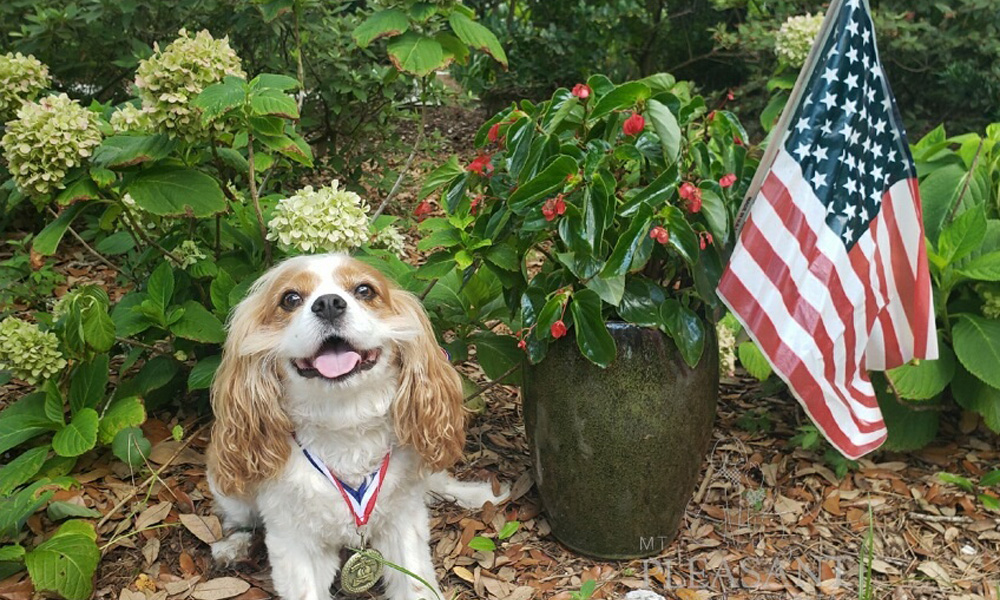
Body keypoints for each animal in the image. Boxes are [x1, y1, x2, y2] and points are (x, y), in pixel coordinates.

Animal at [209, 253, 508, 600]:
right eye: (290, 299)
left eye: (365, 290)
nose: (328, 303)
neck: (344, 419)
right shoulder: (294, 542)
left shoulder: (403, 523)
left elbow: (416, 583)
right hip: (227, 488)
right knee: (239, 517)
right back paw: (233, 545)